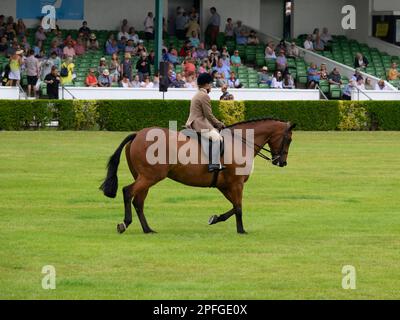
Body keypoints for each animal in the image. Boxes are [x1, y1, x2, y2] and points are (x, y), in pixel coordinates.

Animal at [99, 119, 294, 234]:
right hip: (150, 177)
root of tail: (138, 134)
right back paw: (125, 223)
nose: (282, 162)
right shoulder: (236, 183)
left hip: (144, 178)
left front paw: (215, 218)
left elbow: (233, 206)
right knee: (127, 192)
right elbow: (238, 207)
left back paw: (147, 229)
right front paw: (241, 230)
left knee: (138, 201)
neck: (240, 142)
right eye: (289, 139)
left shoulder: (225, 185)